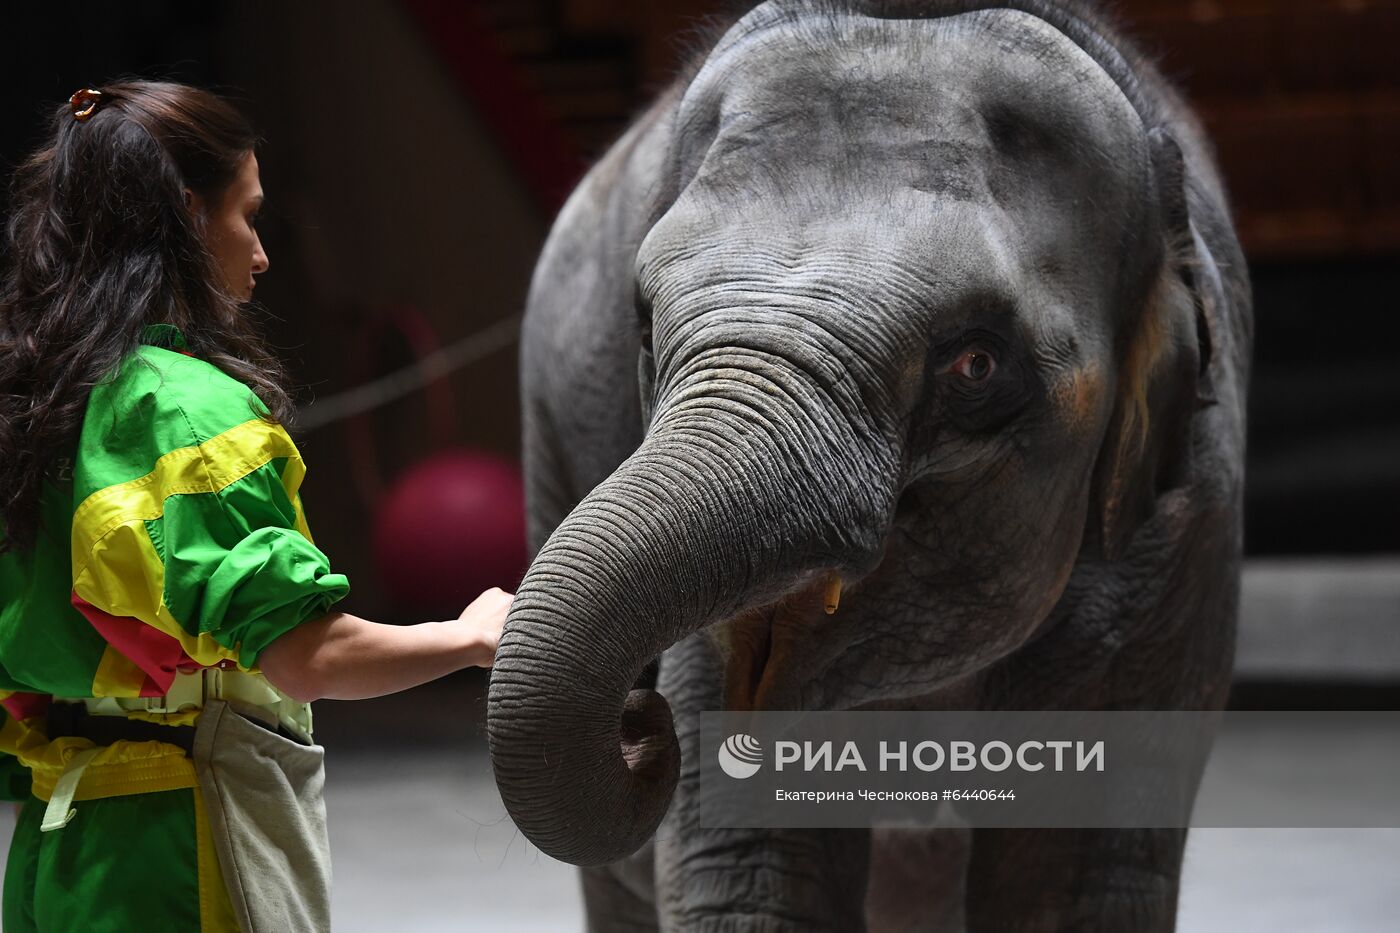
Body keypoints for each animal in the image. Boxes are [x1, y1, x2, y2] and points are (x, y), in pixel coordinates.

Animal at [490, 3, 1248, 924]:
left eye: (976, 364)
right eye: (642, 322)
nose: (642, 711)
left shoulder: (1183, 534)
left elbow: (1074, 873)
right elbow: (753, 873)